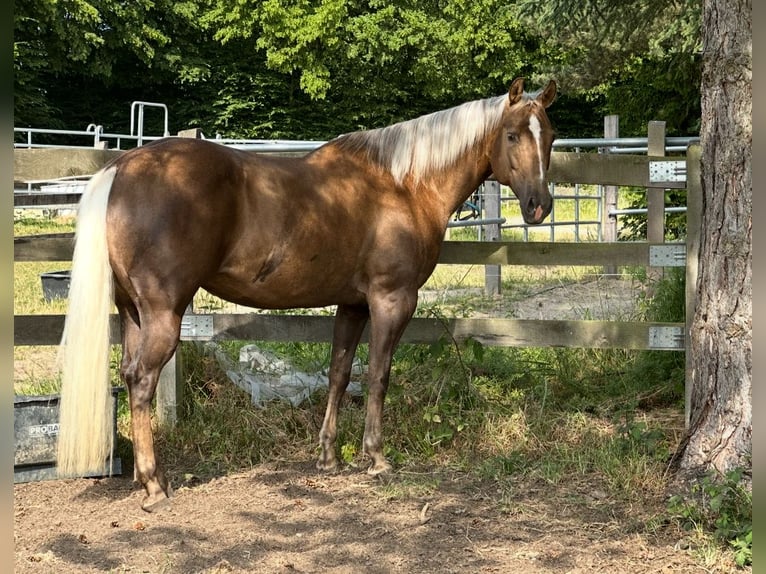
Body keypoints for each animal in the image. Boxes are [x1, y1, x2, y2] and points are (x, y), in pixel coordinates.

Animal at [56, 77, 557, 511]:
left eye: (549, 135)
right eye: (512, 135)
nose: (540, 206)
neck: (403, 184)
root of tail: (121, 167)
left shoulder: (352, 305)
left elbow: (339, 373)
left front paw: (328, 456)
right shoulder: (392, 300)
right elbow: (378, 376)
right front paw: (376, 458)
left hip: (133, 313)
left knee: (128, 373)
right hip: (163, 314)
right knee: (142, 380)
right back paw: (154, 486)